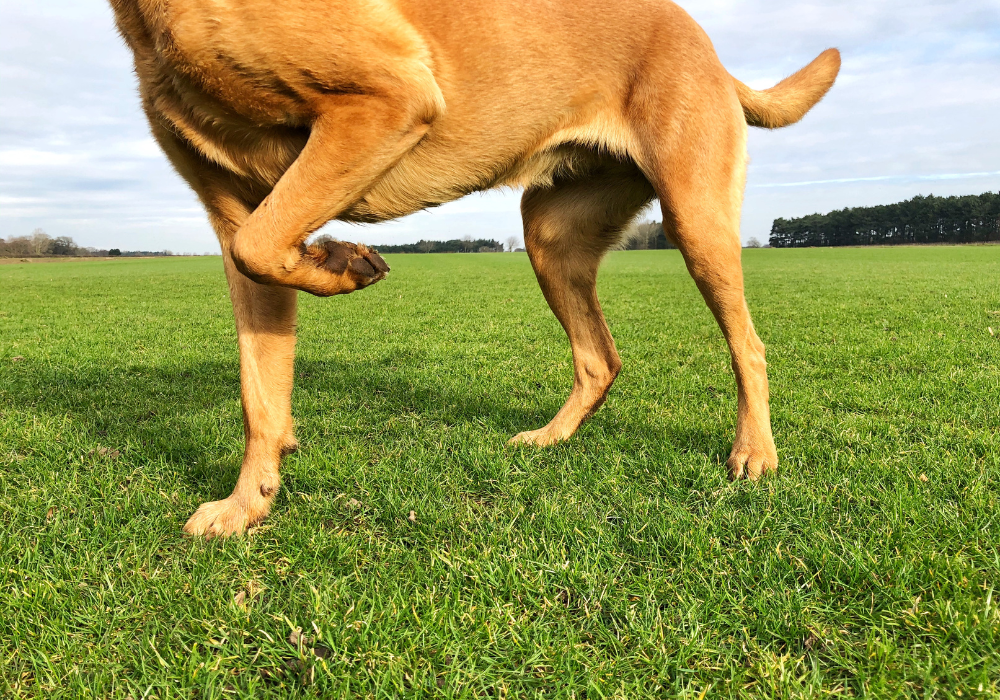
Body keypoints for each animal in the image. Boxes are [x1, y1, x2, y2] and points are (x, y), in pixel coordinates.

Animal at [109, 0, 840, 540]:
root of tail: (711, 51)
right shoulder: (233, 209)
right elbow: (259, 385)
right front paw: (248, 503)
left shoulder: (388, 98)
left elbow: (260, 250)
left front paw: (343, 263)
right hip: (552, 238)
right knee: (600, 358)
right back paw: (550, 438)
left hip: (696, 216)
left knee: (748, 343)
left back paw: (755, 451)